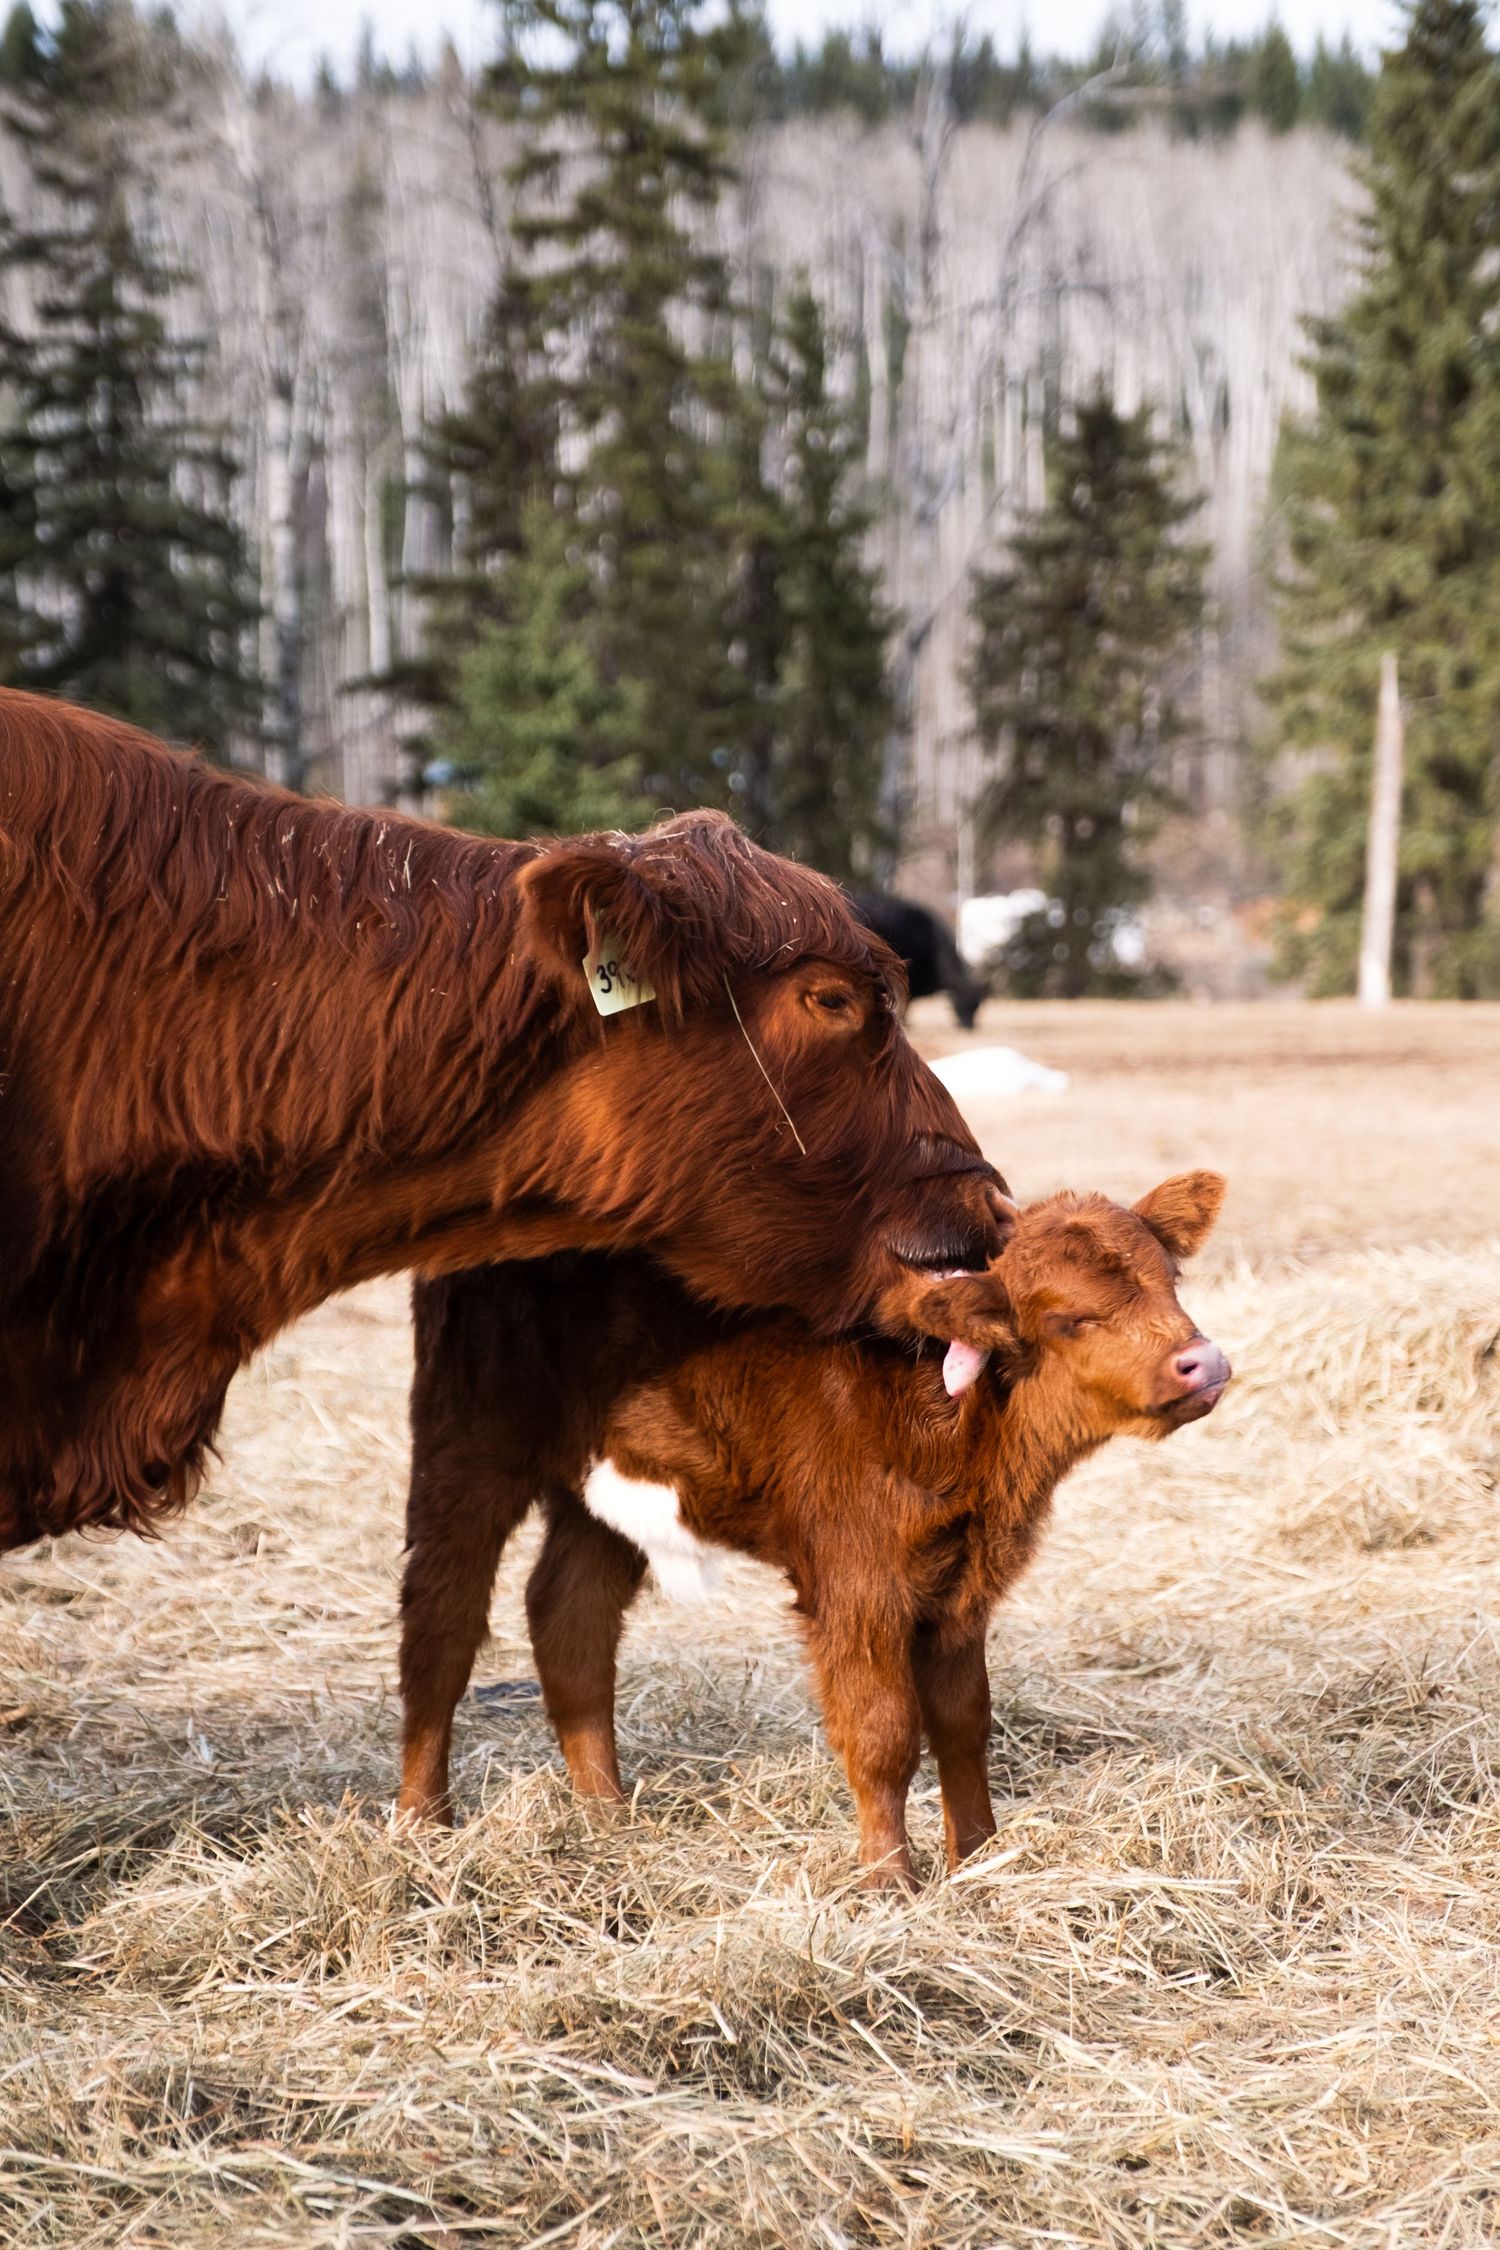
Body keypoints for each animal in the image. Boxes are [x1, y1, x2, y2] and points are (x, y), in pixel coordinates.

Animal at [398, 1172, 1229, 1878]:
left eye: (1172, 1282)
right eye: (1069, 1319)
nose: (1206, 1363)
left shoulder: (961, 1584)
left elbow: (964, 1721)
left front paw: (978, 1860)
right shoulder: (858, 1583)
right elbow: (884, 1731)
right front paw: (890, 1880)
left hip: (601, 1485)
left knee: (571, 1618)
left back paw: (605, 1817)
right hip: (468, 1441)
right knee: (443, 1620)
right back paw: (423, 1823)